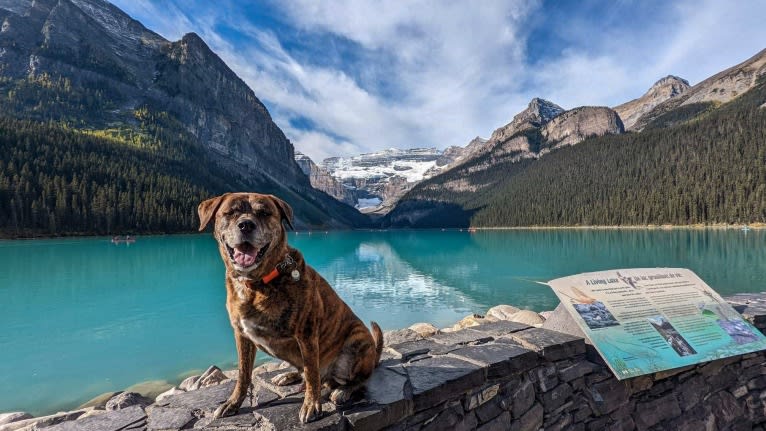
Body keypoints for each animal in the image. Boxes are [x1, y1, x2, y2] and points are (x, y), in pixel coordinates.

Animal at [200, 194, 384, 424]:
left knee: (356, 378)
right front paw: (233, 403)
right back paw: (288, 375)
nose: (246, 225)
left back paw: (343, 391)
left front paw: (312, 406)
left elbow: (312, 374)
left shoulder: (307, 334)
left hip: (356, 342)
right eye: (231, 212)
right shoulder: (242, 336)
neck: (257, 283)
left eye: (264, 213)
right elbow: (243, 374)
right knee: (307, 371)